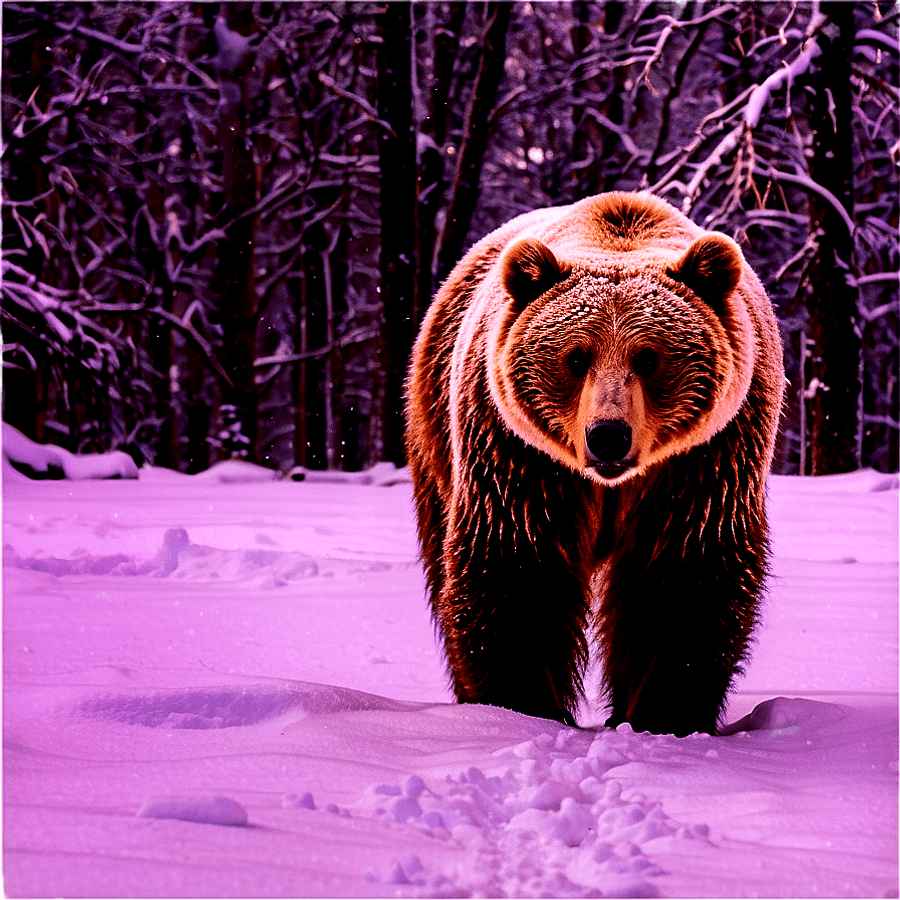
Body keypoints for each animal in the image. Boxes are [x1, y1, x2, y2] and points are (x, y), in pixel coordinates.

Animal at [405, 191, 784, 736]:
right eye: (575, 357)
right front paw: (521, 705)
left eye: (649, 357)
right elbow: (513, 566)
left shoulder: (704, 460)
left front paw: (663, 712)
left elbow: (684, 573)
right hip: (436, 432)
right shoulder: (520, 457)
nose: (608, 435)